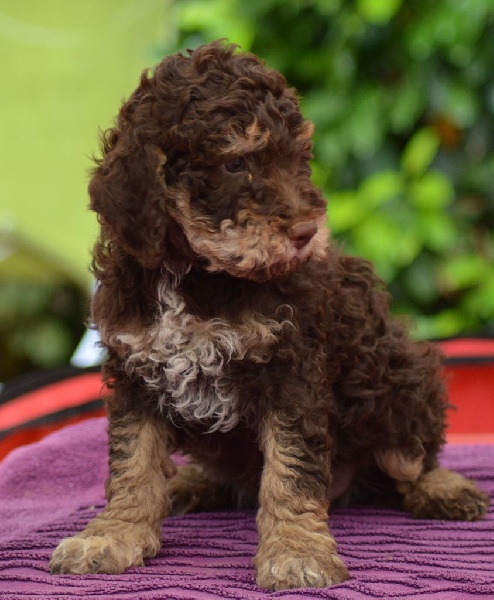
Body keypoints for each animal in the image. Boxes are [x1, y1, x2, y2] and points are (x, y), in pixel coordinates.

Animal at [50, 41, 489, 590]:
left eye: (299, 158)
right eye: (236, 163)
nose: (307, 232)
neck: (192, 273)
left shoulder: (290, 367)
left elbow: (290, 467)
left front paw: (296, 550)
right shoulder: (136, 369)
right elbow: (133, 461)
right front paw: (113, 535)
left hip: (400, 374)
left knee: (408, 459)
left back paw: (444, 488)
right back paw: (189, 482)